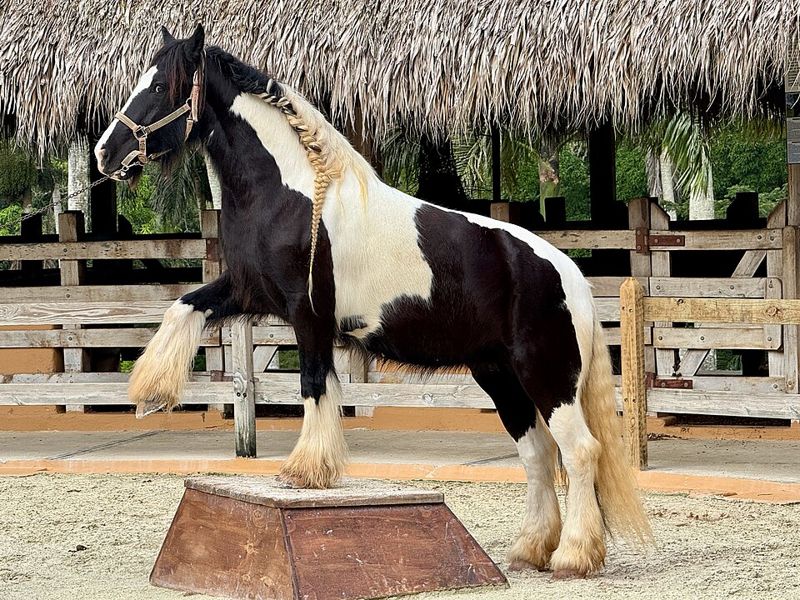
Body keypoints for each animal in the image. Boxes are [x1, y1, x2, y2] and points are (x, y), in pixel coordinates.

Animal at [94, 25, 651, 577]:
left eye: (159, 85)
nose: (104, 154)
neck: (291, 196)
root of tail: (569, 275)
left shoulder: (308, 316)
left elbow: (315, 386)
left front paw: (306, 471)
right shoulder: (248, 291)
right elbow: (184, 306)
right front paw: (151, 391)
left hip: (546, 375)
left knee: (579, 451)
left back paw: (574, 555)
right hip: (498, 374)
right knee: (536, 453)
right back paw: (529, 550)